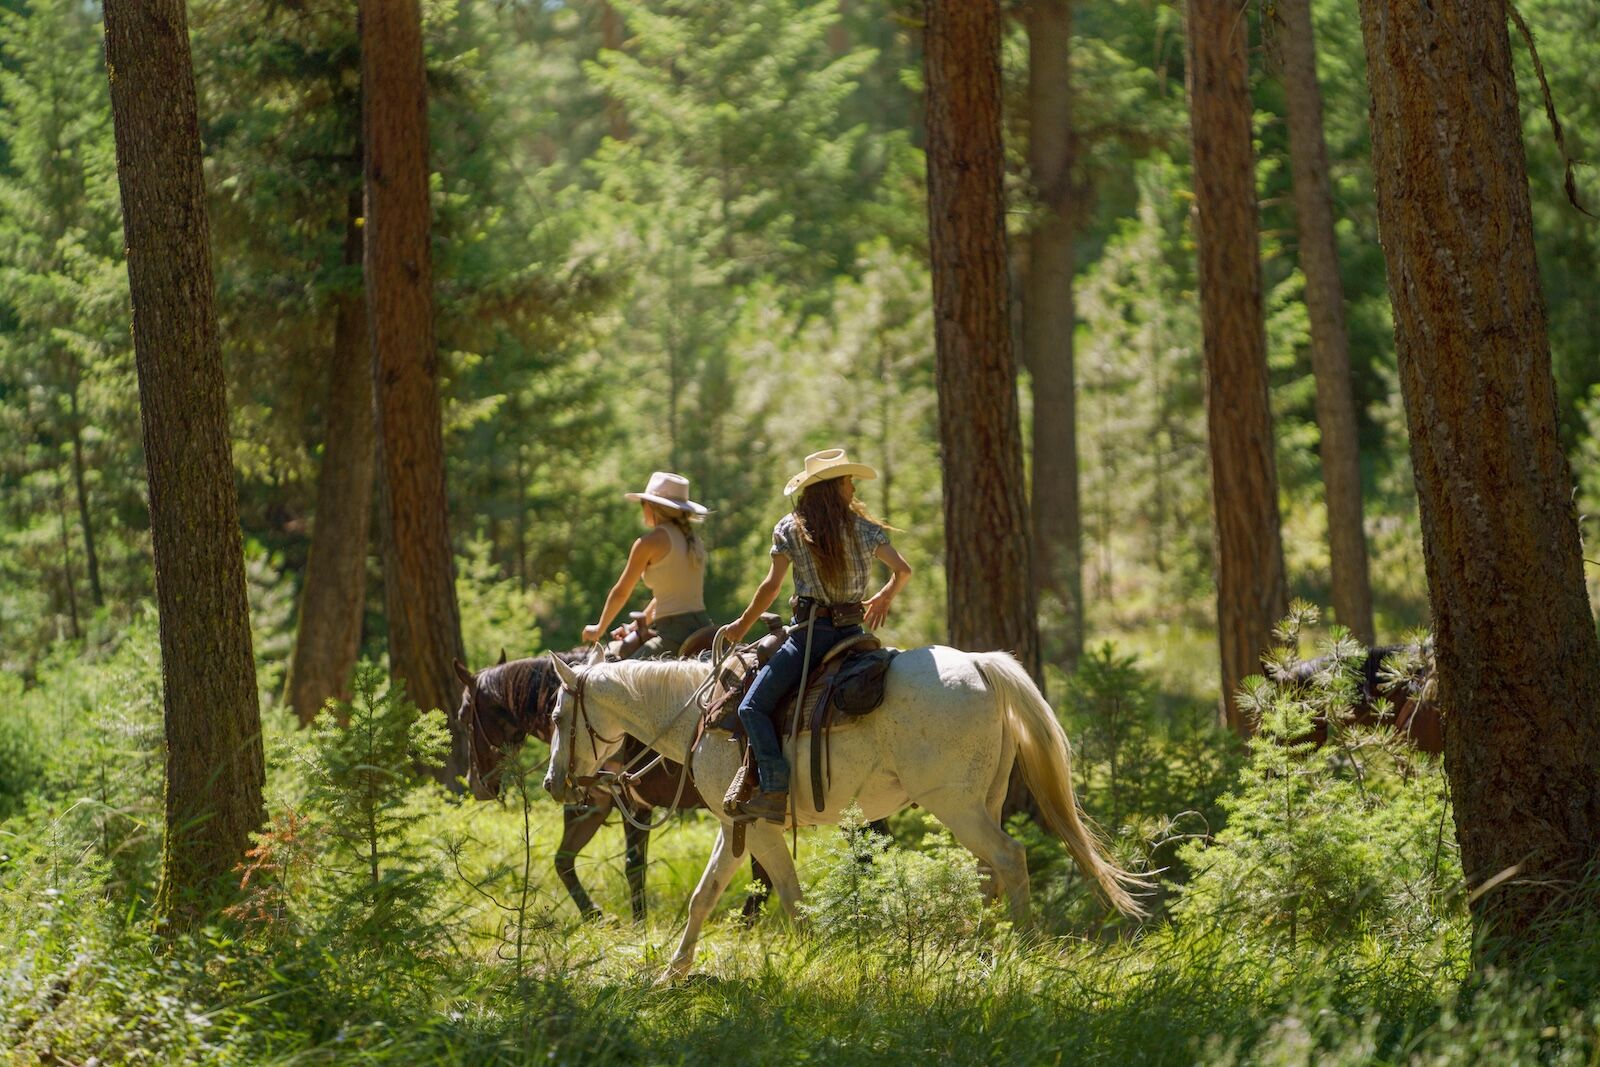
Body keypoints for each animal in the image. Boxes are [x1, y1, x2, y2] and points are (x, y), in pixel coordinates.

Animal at [544, 646, 1145, 979]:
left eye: (556, 716)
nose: (553, 783)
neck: (704, 716)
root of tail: (979, 664)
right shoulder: (735, 825)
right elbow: (703, 897)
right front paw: (672, 973)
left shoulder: (755, 826)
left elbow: (790, 896)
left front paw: (808, 961)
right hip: (981, 802)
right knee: (988, 872)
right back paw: (981, 948)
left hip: (954, 804)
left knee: (1010, 858)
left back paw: (1019, 945)